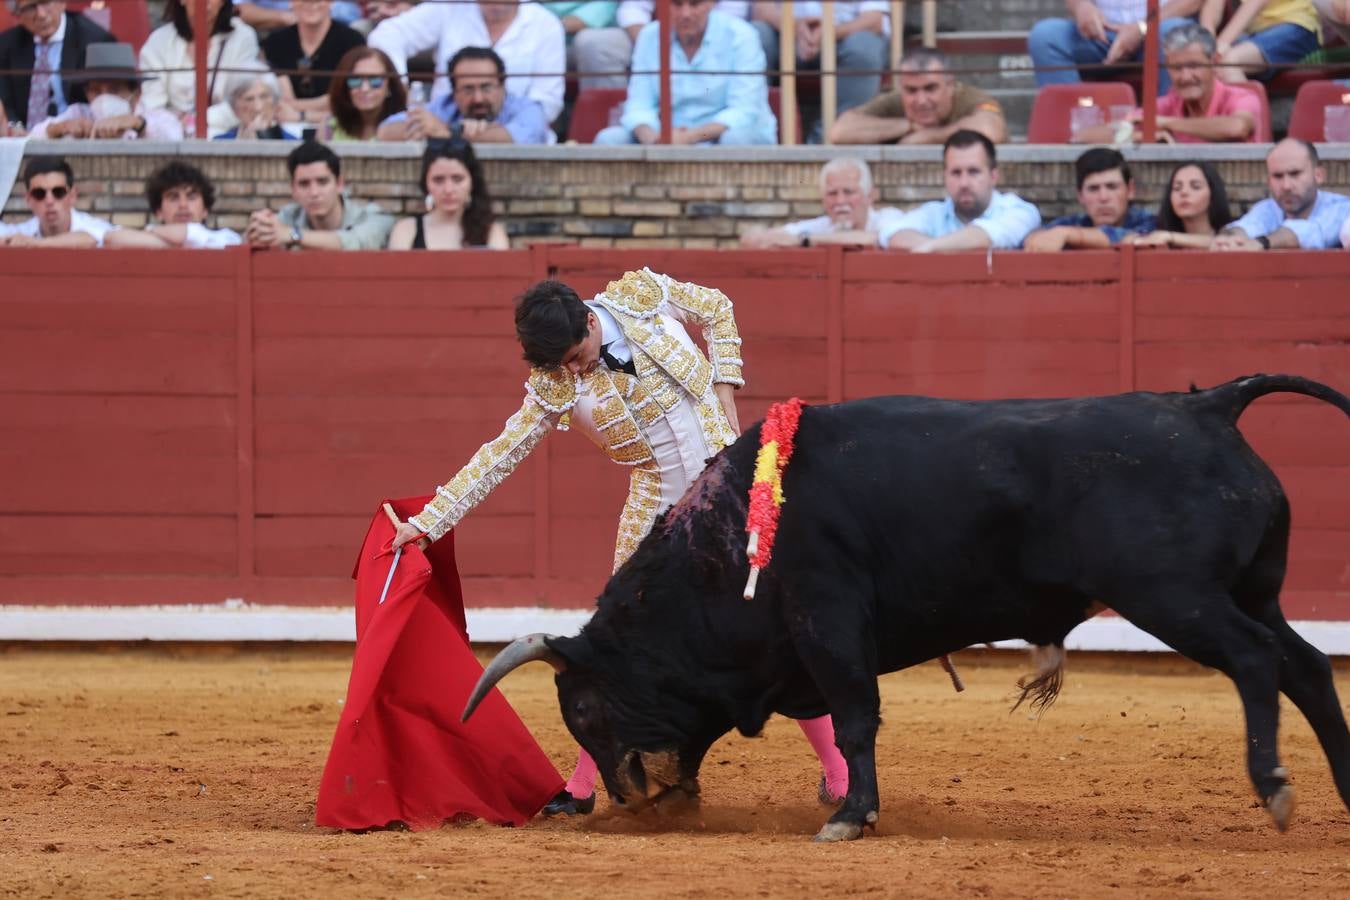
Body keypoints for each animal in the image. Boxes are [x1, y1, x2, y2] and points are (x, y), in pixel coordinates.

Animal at [464, 372, 1350, 836]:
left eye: (583, 709)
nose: (628, 797)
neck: (727, 541)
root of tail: (1209, 404)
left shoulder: (826, 621)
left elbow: (857, 718)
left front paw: (852, 815)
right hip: (1252, 592)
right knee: (1305, 666)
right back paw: (1342, 788)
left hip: (1175, 597)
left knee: (1256, 661)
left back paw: (1274, 787)